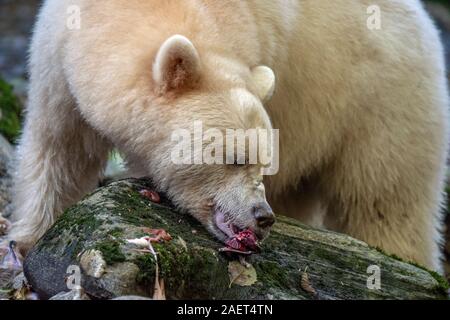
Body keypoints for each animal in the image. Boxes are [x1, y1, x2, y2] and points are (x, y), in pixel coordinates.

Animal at [7, 0, 450, 272]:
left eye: (262, 160)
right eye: (234, 157)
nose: (262, 216)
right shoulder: (59, 55)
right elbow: (62, 146)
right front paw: (30, 242)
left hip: (383, 108)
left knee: (384, 204)